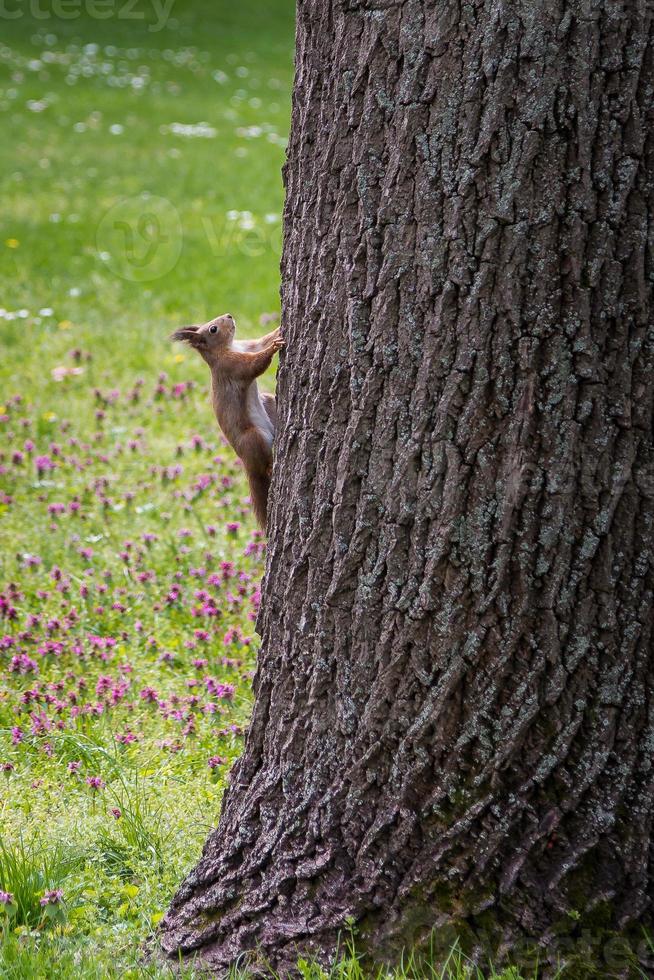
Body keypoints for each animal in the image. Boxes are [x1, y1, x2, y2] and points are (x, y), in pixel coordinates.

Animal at [173, 314, 286, 528]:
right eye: (213, 329)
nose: (229, 315)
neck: (230, 347)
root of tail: (247, 465)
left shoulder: (247, 346)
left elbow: (261, 341)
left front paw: (278, 331)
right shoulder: (231, 366)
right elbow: (254, 365)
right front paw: (274, 347)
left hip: (267, 401)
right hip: (253, 438)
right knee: (263, 464)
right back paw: (269, 465)